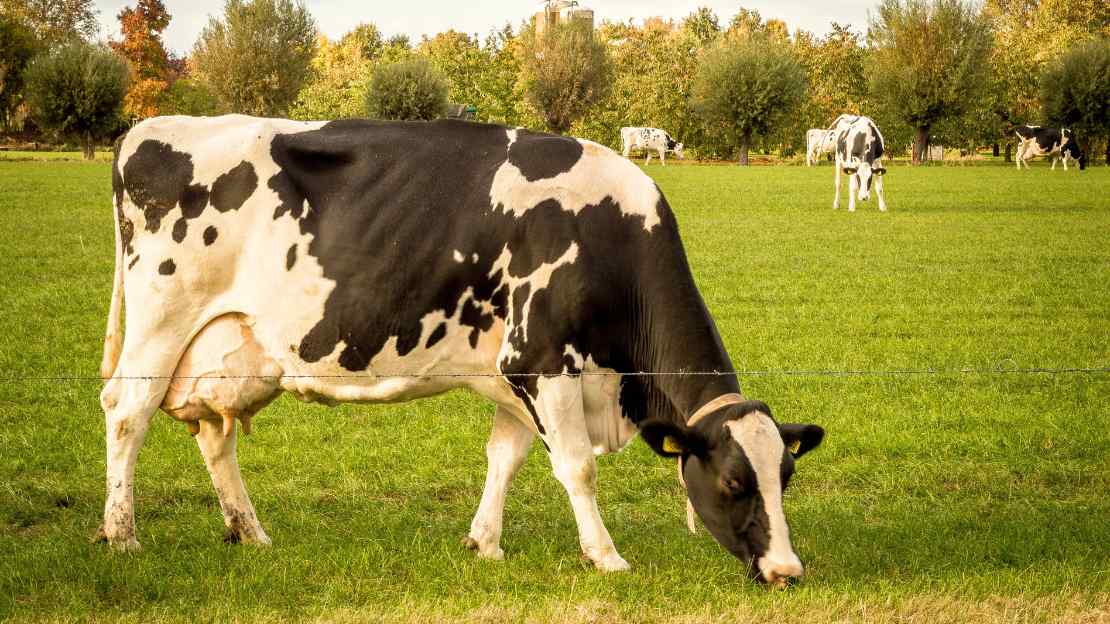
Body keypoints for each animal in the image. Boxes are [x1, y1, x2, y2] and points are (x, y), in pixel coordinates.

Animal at [97, 115, 825, 586]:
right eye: (733, 483)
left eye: (785, 476)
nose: (788, 571)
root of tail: (144, 130)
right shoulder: (544, 360)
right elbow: (578, 468)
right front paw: (605, 556)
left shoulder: (514, 377)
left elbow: (505, 457)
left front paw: (485, 543)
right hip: (161, 321)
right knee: (127, 415)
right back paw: (122, 535)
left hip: (230, 345)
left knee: (215, 436)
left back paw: (250, 532)